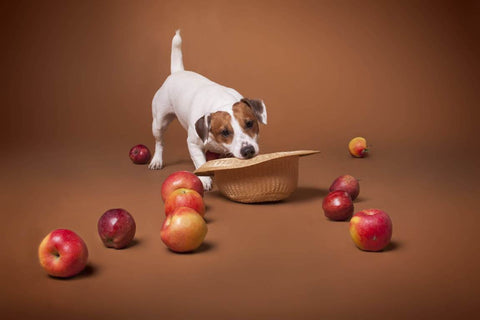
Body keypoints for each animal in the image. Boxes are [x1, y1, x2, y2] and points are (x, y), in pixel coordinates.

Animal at [147, 30, 266, 190]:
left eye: (249, 123)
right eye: (225, 132)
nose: (248, 151)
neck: (222, 101)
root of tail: (177, 72)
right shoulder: (193, 144)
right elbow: (200, 162)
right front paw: (205, 179)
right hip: (159, 123)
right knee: (159, 142)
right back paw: (157, 160)